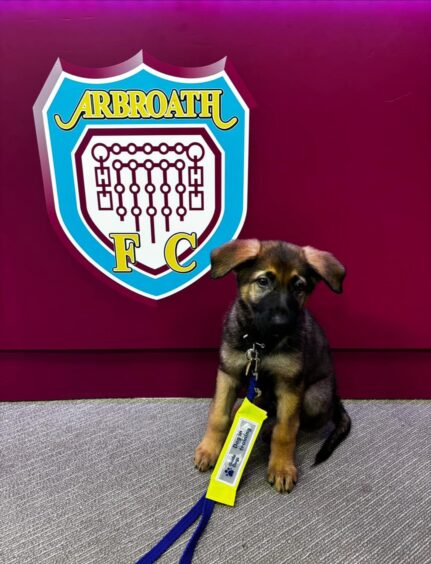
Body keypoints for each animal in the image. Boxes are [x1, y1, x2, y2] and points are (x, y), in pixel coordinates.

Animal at [195, 240, 352, 492]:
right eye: (263, 281)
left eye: (299, 286)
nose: (281, 324)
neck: (261, 342)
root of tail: (336, 398)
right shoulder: (228, 373)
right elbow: (218, 415)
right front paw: (209, 450)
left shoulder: (290, 386)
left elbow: (286, 431)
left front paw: (281, 468)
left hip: (314, 399)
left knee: (295, 421)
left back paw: (268, 428)